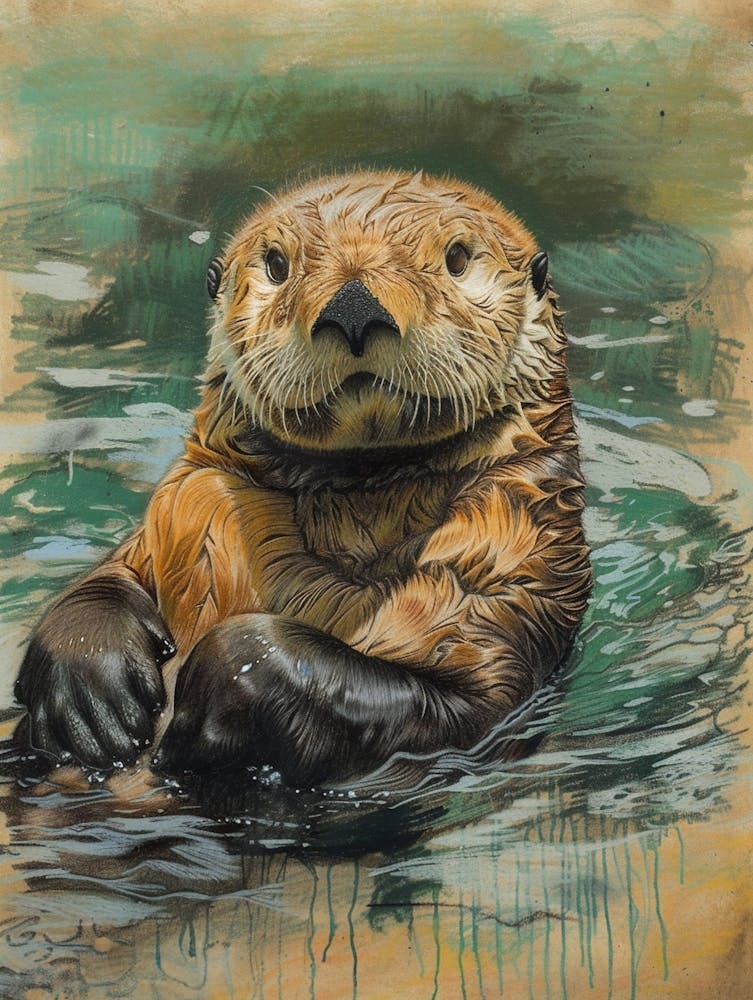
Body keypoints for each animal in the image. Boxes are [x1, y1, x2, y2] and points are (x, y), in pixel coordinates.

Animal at [14, 171, 592, 787]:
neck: (357, 502)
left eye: (457, 257)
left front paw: (236, 667)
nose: (355, 308)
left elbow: (444, 701)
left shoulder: (510, 583)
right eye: (276, 263)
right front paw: (90, 685)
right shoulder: (179, 509)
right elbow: (106, 580)